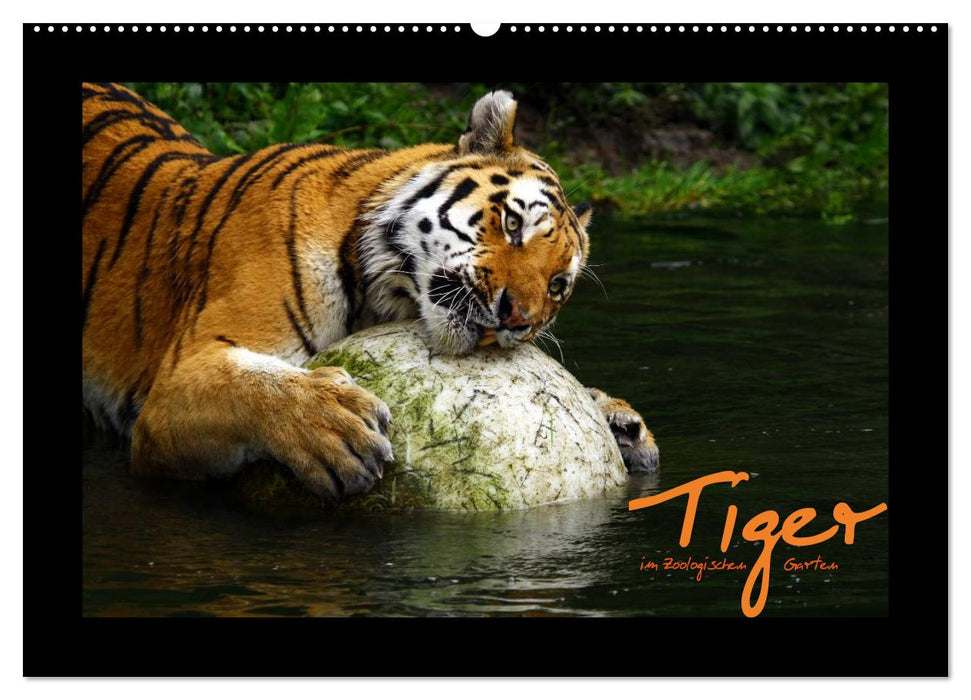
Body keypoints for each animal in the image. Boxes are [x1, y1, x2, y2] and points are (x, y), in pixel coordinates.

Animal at [82, 82, 659, 505]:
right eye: (512, 224)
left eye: (558, 286)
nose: (517, 319)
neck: (379, 292)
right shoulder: (173, 384)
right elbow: (252, 384)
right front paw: (335, 428)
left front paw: (620, 423)